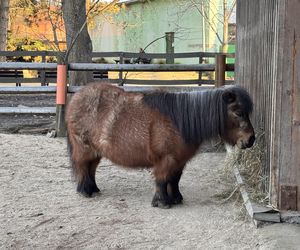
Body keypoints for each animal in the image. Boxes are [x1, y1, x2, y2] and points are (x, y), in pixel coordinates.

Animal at [65, 83, 255, 209]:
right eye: (239, 113)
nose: (251, 139)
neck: (179, 121)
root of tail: (76, 97)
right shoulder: (166, 159)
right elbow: (162, 180)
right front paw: (163, 202)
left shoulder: (179, 161)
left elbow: (175, 179)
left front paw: (176, 198)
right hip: (84, 149)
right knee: (83, 167)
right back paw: (85, 191)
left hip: (96, 152)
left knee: (91, 169)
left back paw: (93, 189)